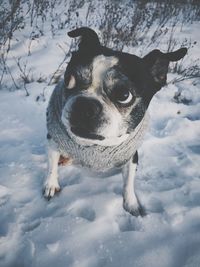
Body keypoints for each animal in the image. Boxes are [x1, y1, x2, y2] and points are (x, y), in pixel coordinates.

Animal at [43, 27, 186, 217]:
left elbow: (128, 183)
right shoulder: (53, 141)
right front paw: (51, 185)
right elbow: (51, 166)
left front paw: (131, 204)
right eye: (69, 80)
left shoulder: (132, 157)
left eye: (124, 95)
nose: (84, 105)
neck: (94, 147)